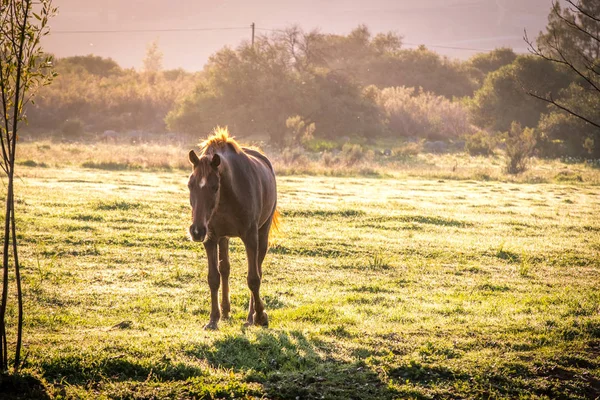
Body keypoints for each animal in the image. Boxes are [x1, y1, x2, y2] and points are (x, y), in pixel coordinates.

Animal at [186, 128, 278, 332]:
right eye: (190, 185)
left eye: (214, 187)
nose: (196, 231)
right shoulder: (211, 238)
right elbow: (214, 278)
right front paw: (213, 319)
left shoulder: (250, 237)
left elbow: (253, 279)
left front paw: (260, 316)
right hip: (223, 238)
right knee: (225, 269)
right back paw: (226, 311)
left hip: (262, 233)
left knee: (258, 268)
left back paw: (251, 317)